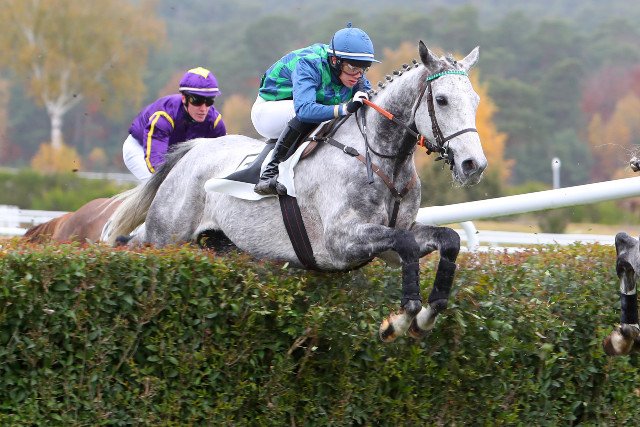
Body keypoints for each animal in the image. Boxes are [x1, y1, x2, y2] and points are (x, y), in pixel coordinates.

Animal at [105, 41, 487, 342]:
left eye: (475, 100)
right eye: (442, 100)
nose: (474, 165)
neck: (382, 158)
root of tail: (194, 148)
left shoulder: (393, 240)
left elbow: (448, 239)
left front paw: (425, 316)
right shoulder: (340, 241)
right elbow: (406, 245)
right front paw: (400, 319)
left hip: (220, 246)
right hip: (167, 237)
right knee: (139, 243)